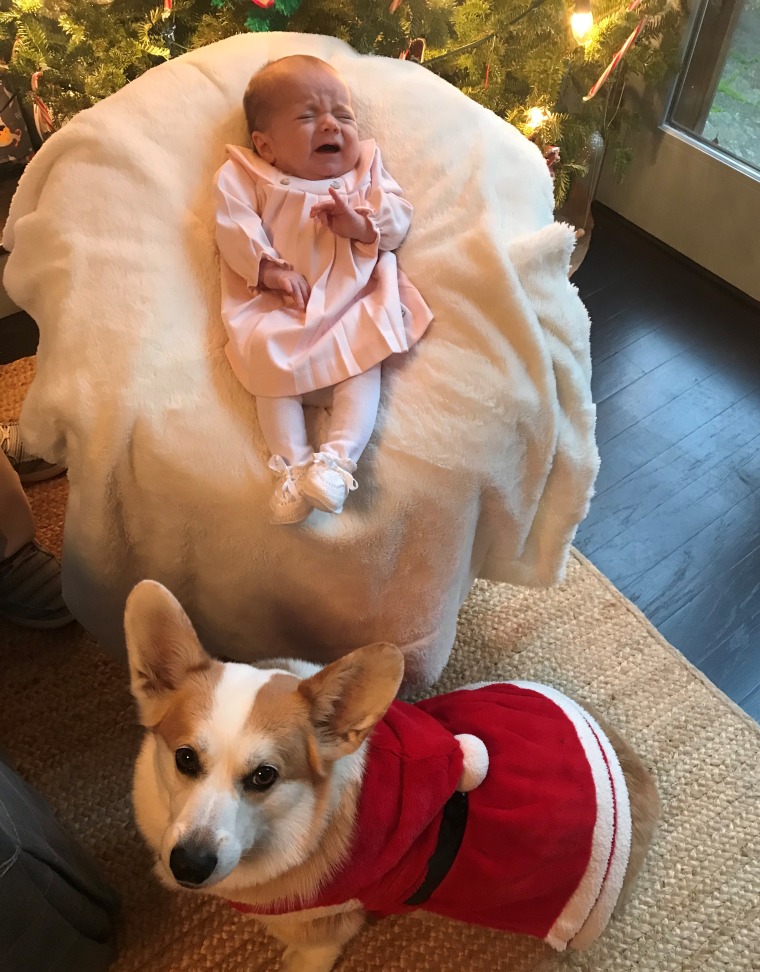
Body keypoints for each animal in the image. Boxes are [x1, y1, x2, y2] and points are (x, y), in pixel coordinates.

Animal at [124, 580, 660, 968]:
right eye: (185, 759)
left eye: (264, 776)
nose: (188, 865)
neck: (301, 825)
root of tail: (632, 771)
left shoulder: (325, 934)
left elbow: (306, 955)